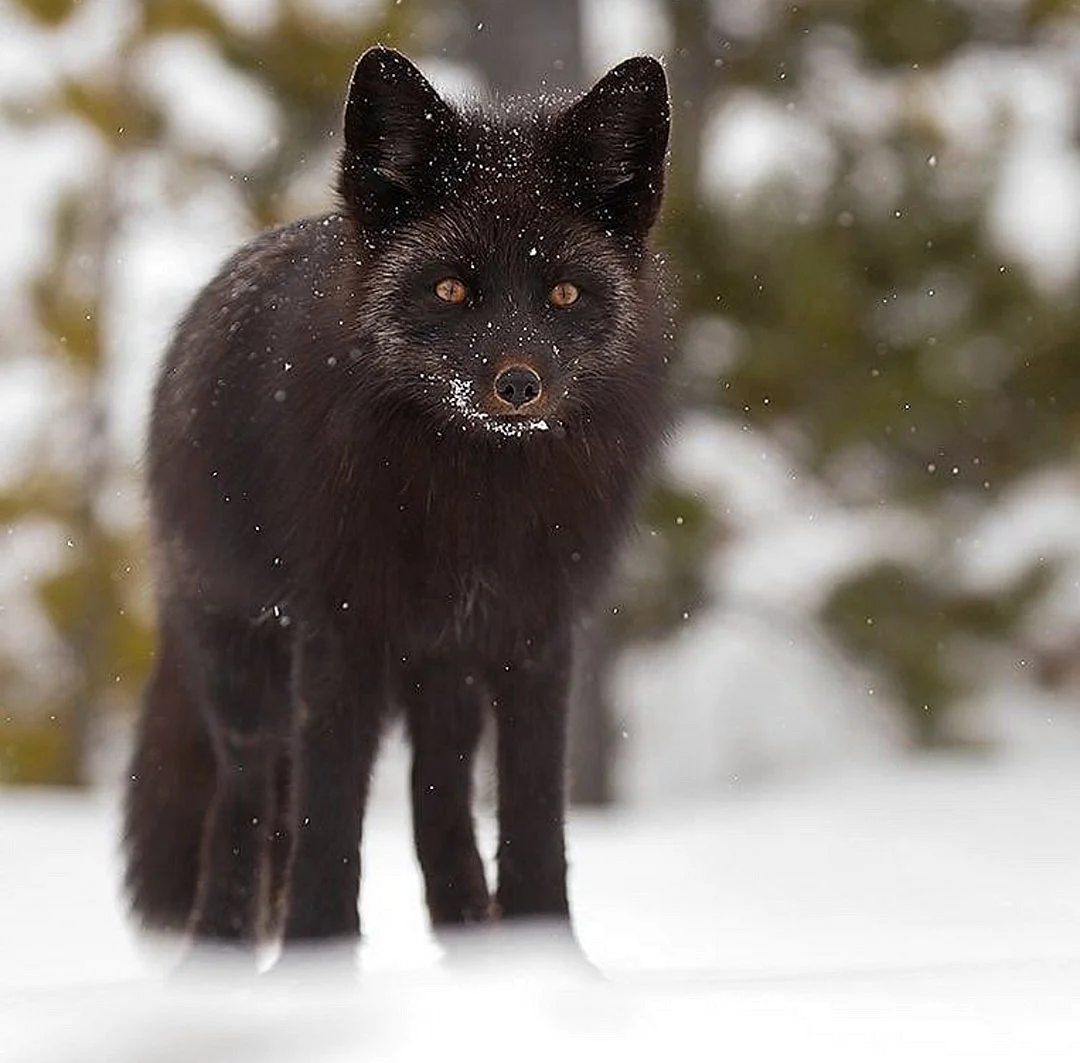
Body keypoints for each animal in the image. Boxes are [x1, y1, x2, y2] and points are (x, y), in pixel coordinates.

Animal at [124, 45, 665, 950]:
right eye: (450, 290)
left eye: (563, 293)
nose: (518, 384)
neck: (475, 500)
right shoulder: (343, 634)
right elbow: (328, 820)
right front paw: (317, 960)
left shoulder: (537, 633)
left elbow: (534, 816)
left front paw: (547, 959)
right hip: (247, 662)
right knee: (244, 805)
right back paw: (219, 954)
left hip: (440, 677)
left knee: (435, 800)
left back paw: (471, 942)